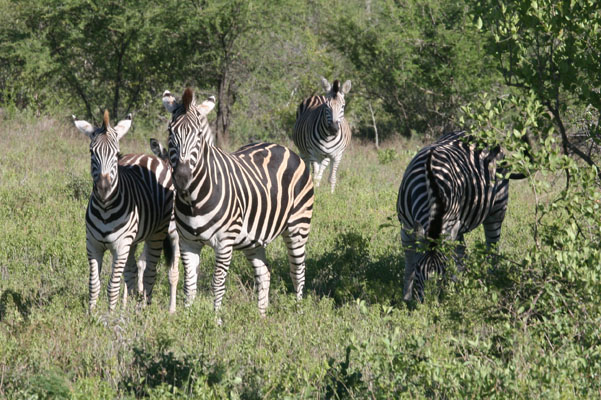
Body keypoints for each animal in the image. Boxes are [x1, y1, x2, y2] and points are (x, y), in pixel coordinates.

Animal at [73, 111, 179, 314]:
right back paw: (131, 308)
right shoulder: (93, 245)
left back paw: (156, 309)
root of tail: (148, 157)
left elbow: (112, 285)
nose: (104, 188)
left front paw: (109, 316)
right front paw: (92, 315)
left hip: (158, 235)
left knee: (154, 272)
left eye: (116, 154)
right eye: (91, 152)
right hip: (135, 239)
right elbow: (94, 284)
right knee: (132, 272)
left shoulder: (121, 246)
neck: (105, 208)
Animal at [163, 88, 314, 318]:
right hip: (253, 239)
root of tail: (284, 148)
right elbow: (189, 285)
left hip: (298, 227)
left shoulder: (224, 242)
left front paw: (215, 320)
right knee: (264, 274)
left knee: (298, 272)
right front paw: (187, 319)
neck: (192, 200)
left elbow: (217, 283)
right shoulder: (188, 242)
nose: (181, 178)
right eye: (170, 132)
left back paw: (298, 313)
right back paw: (261, 317)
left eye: (198, 135)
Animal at [396, 131, 524, 300]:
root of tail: (478, 134)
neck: (431, 185)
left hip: (497, 209)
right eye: (418, 269)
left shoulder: (449, 225)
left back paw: (491, 281)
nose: (429, 305)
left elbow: (450, 257)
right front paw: (406, 298)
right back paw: (460, 281)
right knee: (461, 251)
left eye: (443, 270)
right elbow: (409, 261)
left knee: (492, 246)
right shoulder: (406, 227)